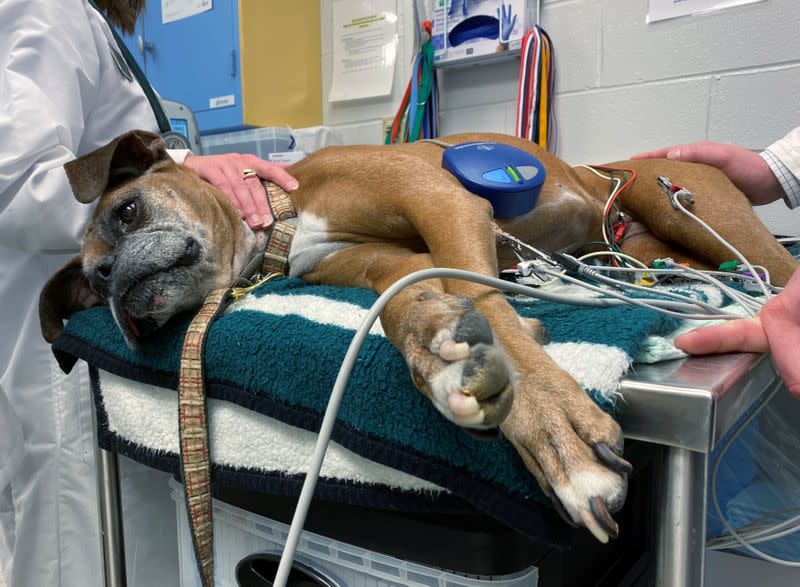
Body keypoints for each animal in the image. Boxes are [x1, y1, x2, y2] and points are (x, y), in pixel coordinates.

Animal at [40, 131, 796, 544]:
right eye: (95, 287)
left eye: (125, 210)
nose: (111, 281)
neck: (283, 218)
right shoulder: (394, 267)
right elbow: (415, 307)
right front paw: (439, 353)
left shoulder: (444, 203)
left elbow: (486, 299)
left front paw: (552, 430)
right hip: (655, 245)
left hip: (682, 205)